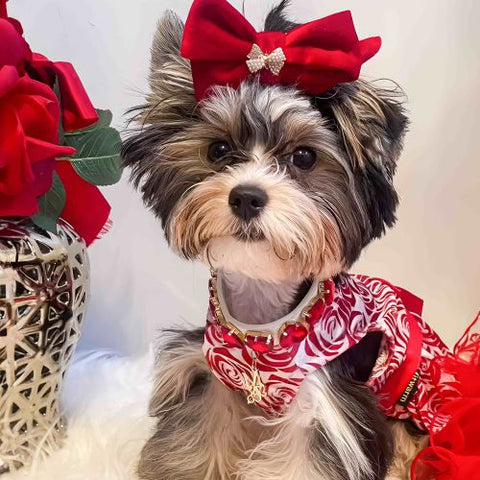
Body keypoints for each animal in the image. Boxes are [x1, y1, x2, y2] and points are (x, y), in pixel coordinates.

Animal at [123, 0, 432, 480]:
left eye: (304, 157)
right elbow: (198, 439)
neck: (264, 323)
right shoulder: (214, 376)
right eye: (218, 151)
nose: (246, 196)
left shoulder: (328, 405)